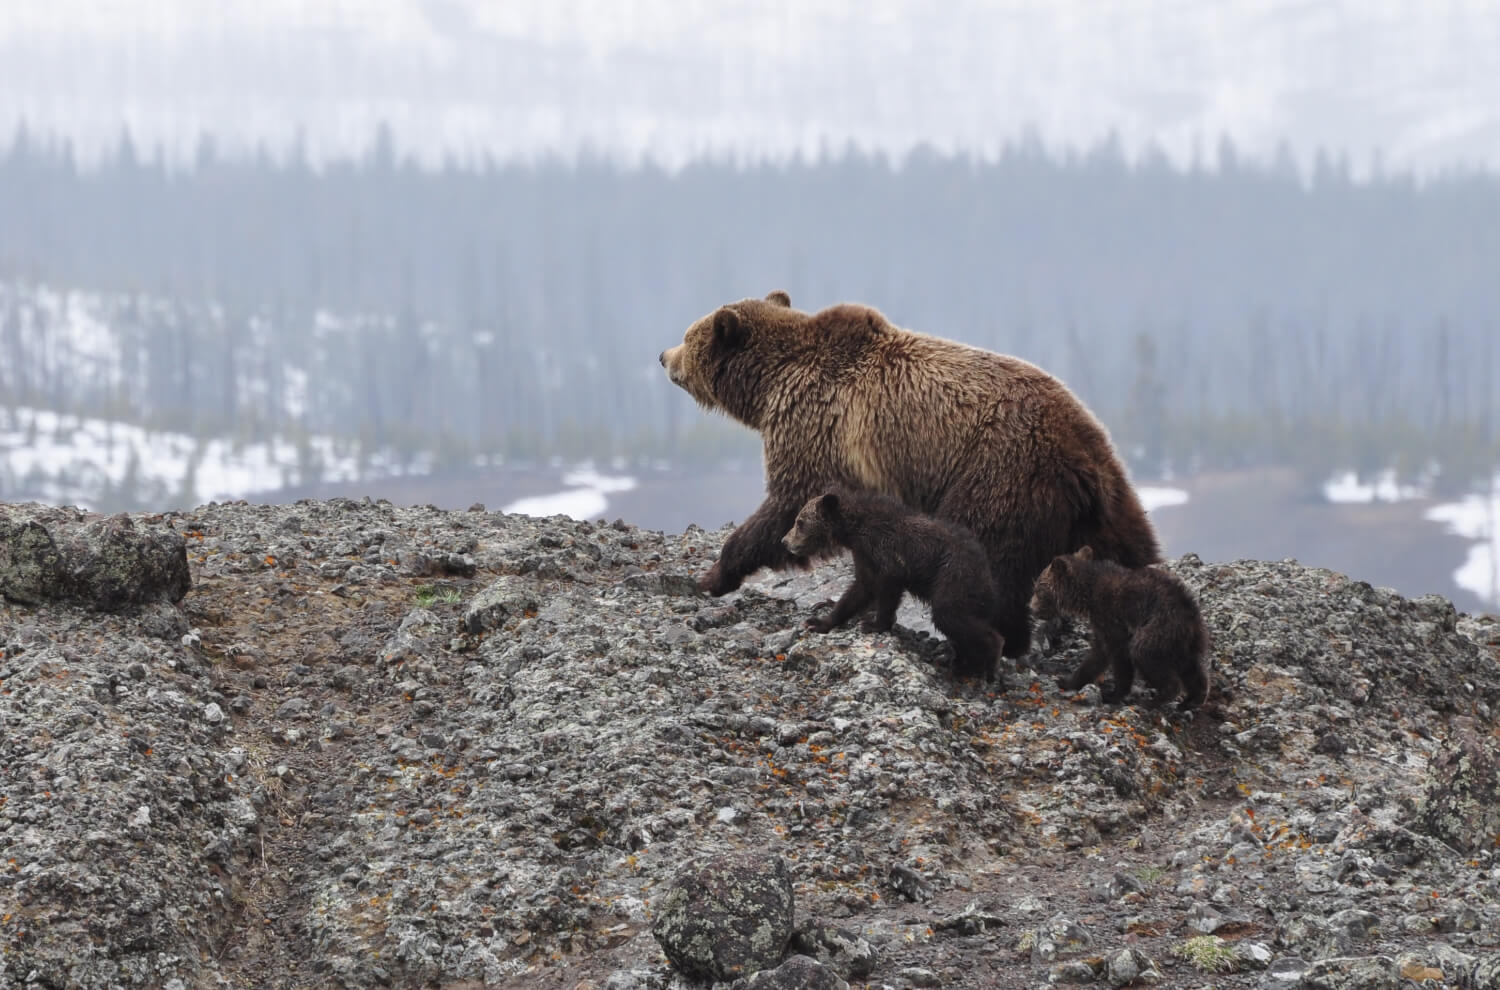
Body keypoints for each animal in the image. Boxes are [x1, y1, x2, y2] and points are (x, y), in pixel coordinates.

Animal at [657, 289, 1158, 657]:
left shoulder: (814, 427)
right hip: (1109, 496)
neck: (770, 386)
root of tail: (1080, 455)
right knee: (1133, 550)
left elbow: (787, 504)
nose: (663, 355)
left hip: (998, 473)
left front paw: (716, 573)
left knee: (988, 557)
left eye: (688, 333)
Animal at [780, 486, 1002, 681]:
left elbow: (887, 589)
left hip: (954, 575)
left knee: (950, 614)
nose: (785, 541)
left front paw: (874, 624)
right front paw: (818, 621)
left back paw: (986, 663)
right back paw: (962, 662)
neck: (854, 530)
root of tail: (987, 571)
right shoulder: (864, 556)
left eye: (800, 522)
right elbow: (859, 590)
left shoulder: (887, 552)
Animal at [1032, 546, 1206, 708]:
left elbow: (1117, 654)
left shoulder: (1110, 616)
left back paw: (1154, 700)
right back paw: (1191, 700)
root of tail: (1192, 617)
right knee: (1192, 670)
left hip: (1159, 627)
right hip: (1183, 643)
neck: (1087, 594)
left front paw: (1112, 694)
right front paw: (1067, 681)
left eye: (1038, 588)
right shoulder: (1101, 622)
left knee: (1143, 652)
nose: (1032, 608)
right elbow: (1098, 654)